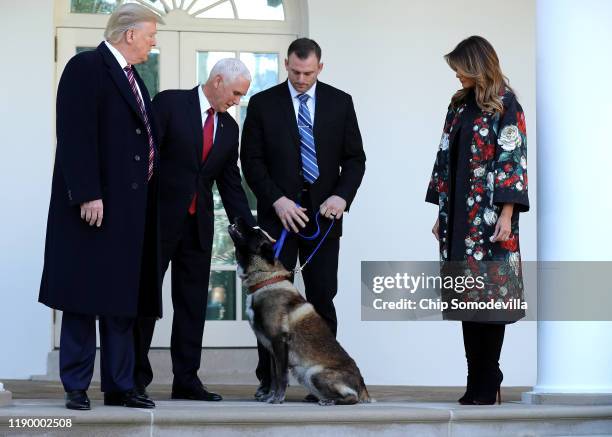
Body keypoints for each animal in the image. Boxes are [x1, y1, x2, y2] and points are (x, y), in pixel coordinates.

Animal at [227, 218, 370, 406]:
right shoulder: (272, 349)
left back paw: (329, 401)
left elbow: (281, 377)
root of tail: (362, 385)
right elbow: (274, 376)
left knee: (351, 398)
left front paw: (278, 399)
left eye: (255, 232)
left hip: (313, 373)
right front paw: (270, 396)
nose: (237, 219)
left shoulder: (279, 343)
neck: (266, 280)